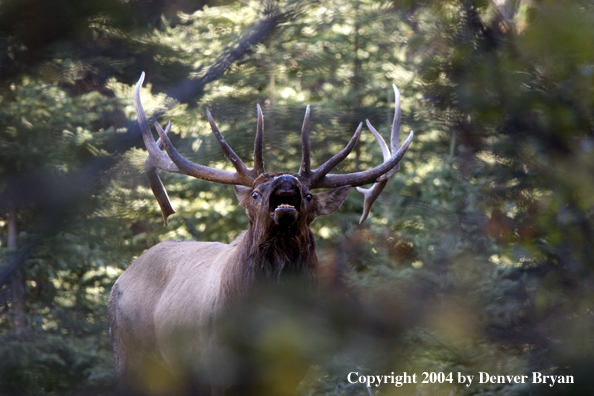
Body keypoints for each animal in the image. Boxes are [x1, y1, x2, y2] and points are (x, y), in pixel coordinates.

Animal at [107, 72, 412, 394]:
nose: (287, 180)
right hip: (128, 354)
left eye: (308, 195)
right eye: (255, 193)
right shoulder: (216, 366)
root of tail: (121, 277)